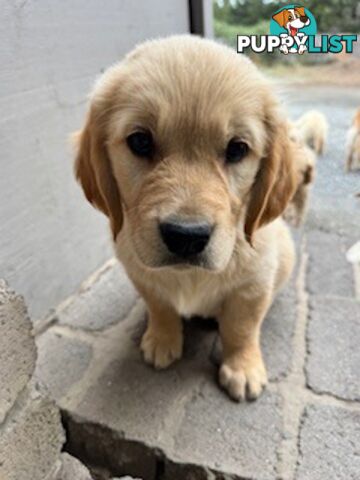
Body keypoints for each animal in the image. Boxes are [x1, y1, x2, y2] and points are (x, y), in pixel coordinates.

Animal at [74, 34, 296, 402]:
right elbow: (160, 305)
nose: (187, 236)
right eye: (140, 141)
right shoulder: (141, 273)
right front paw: (162, 340)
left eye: (237, 149)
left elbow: (242, 327)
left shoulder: (253, 284)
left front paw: (243, 367)